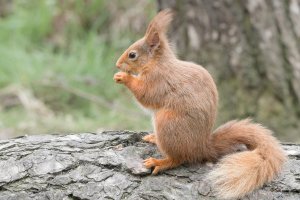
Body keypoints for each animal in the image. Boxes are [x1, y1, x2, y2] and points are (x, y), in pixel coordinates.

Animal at [112, 9, 286, 198]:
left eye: (132, 55)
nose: (117, 64)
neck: (157, 63)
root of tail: (201, 147)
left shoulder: (158, 80)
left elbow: (145, 94)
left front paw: (124, 77)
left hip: (167, 123)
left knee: (178, 159)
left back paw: (160, 162)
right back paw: (154, 138)